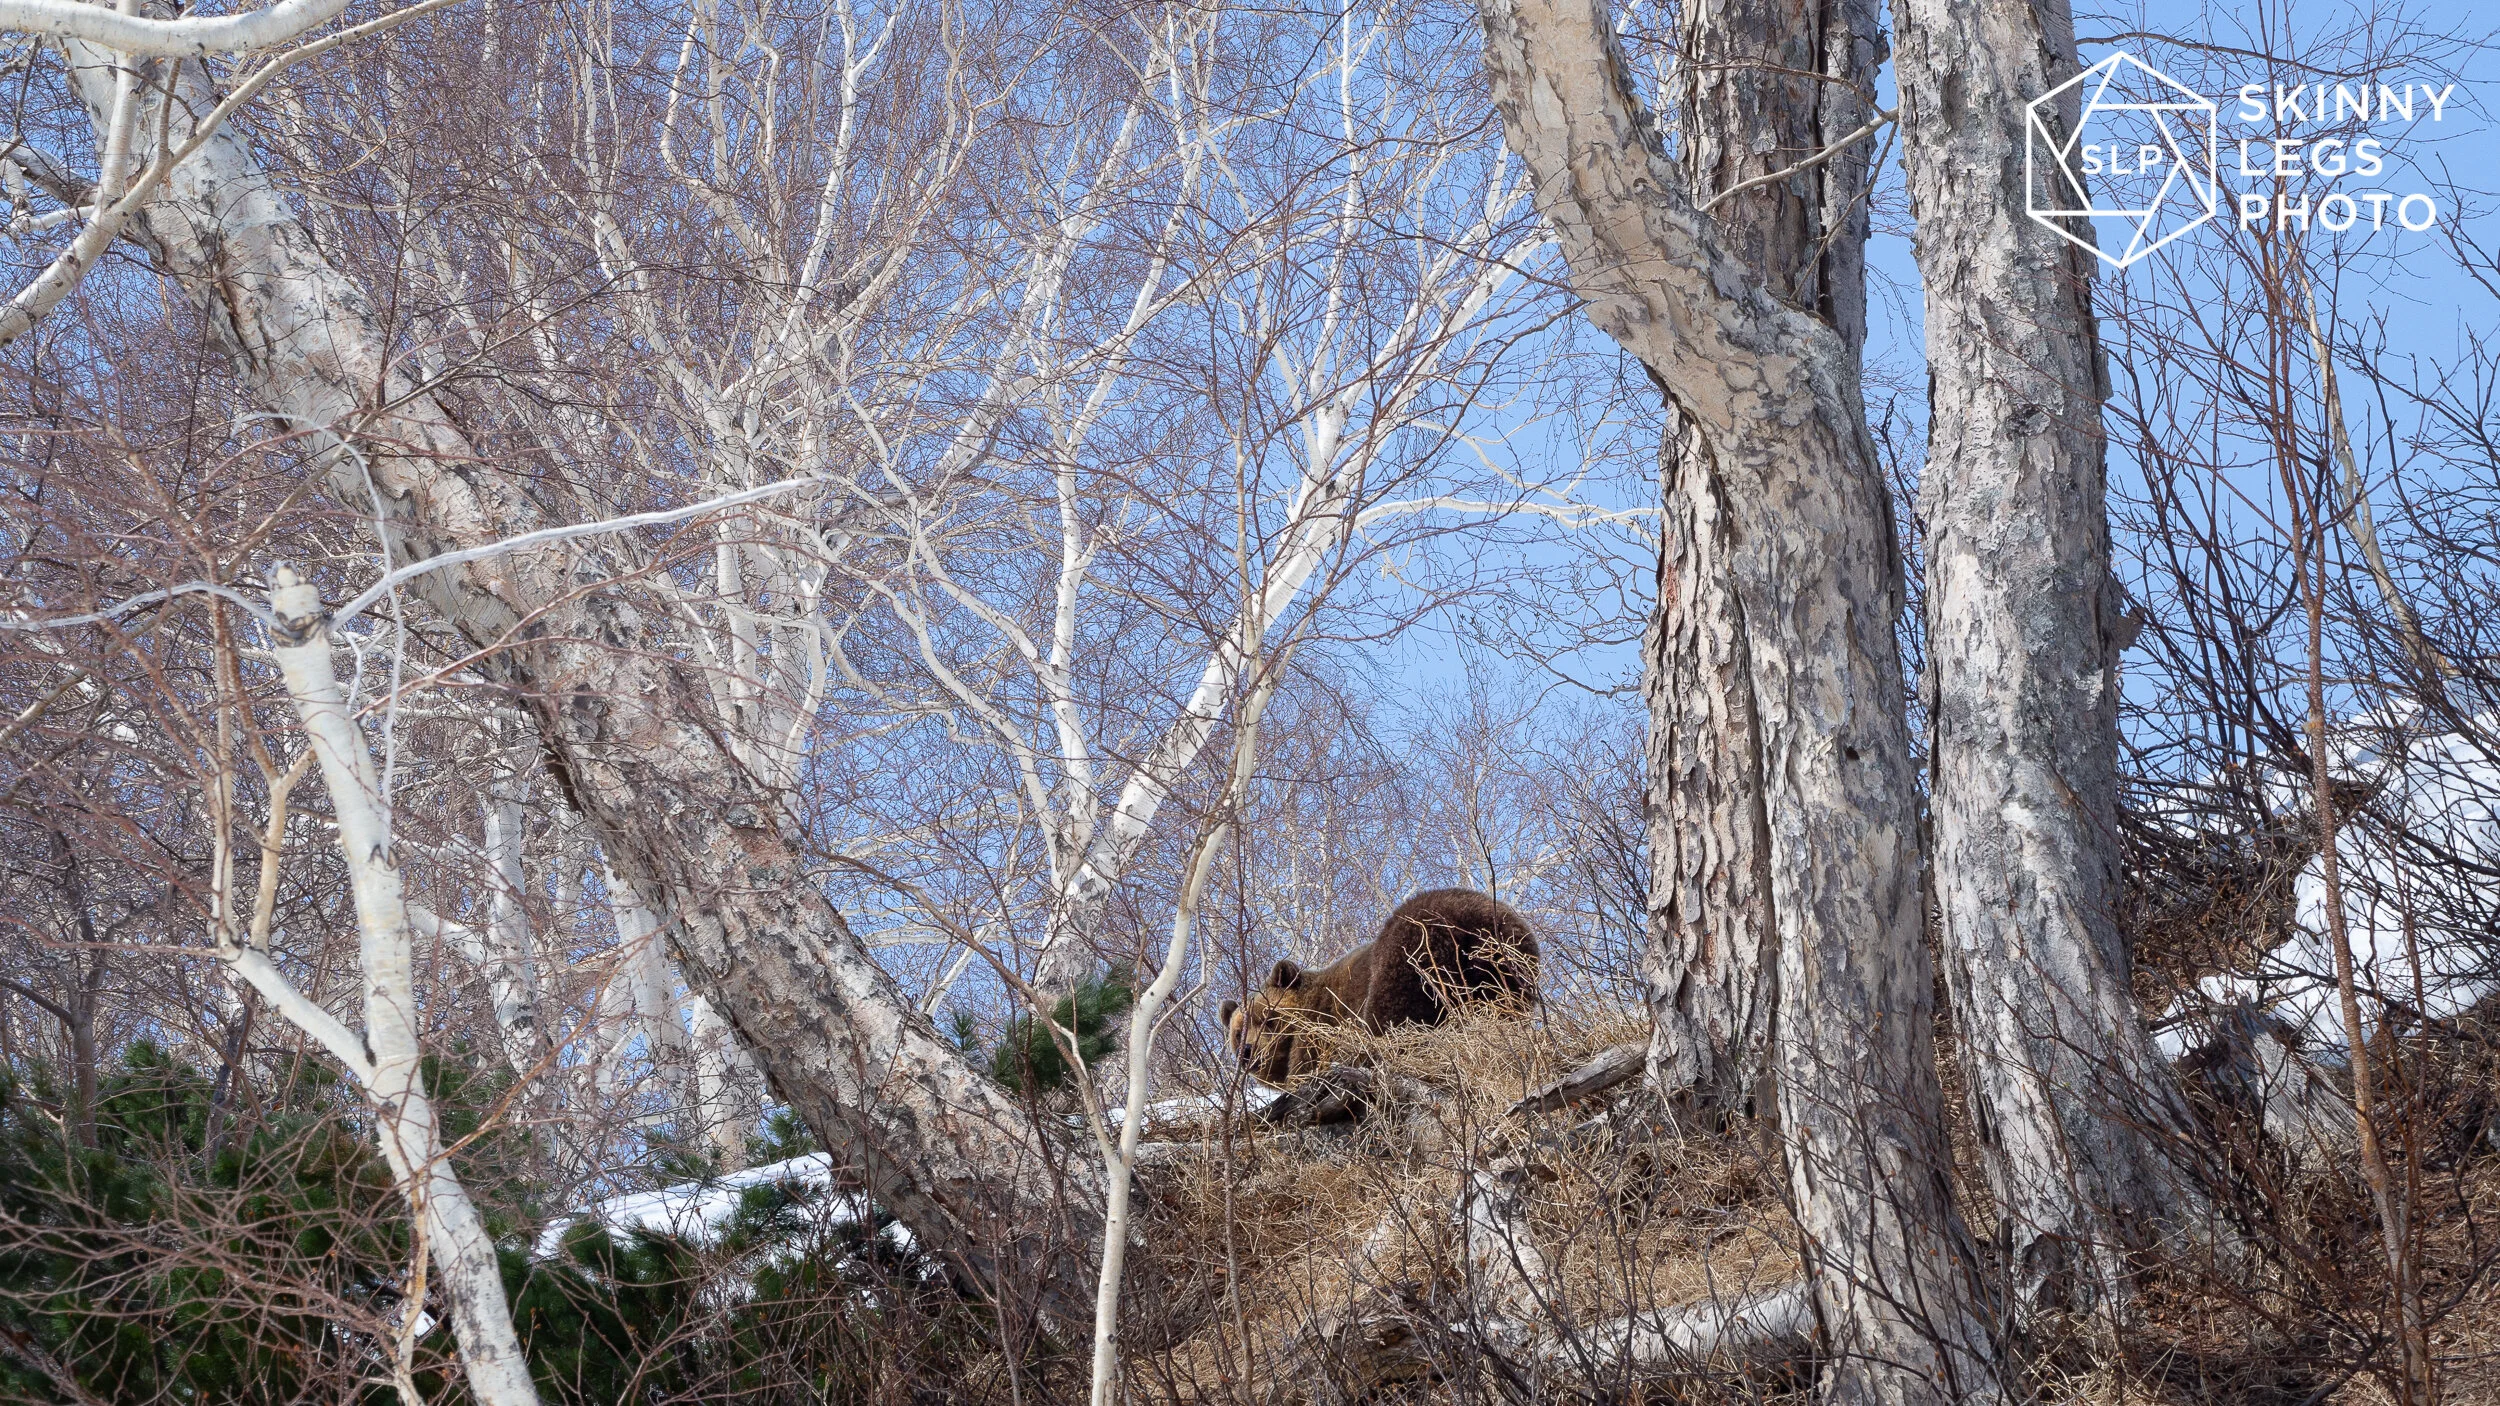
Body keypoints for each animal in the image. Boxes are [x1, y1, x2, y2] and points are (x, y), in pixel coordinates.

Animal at [1218, 888, 1540, 1087]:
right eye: (1237, 1032)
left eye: (1268, 1018)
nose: (1248, 1051)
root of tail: (1469, 925)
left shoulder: (1319, 1031)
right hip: (1509, 959)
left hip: (1410, 952)